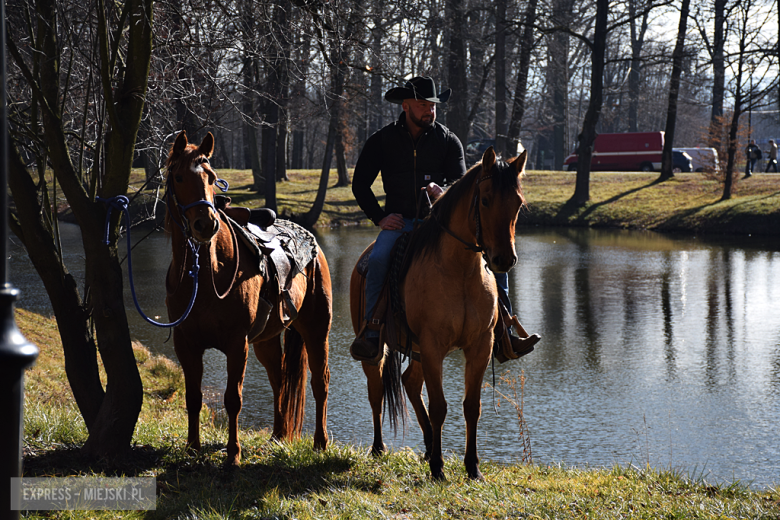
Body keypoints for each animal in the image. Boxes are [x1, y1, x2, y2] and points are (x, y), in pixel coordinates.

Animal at [166, 129, 330, 464]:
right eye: (178, 177)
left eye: (212, 177)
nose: (206, 224)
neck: (207, 275)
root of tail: (313, 244)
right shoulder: (185, 343)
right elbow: (193, 396)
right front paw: (192, 448)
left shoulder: (236, 343)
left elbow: (233, 399)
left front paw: (233, 455)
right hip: (266, 340)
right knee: (280, 381)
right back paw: (278, 437)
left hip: (316, 330)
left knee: (320, 382)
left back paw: (320, 443)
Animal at [352, 145, 532, 480]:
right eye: (485, 199)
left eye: (518, 202)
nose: (503, 259)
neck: (459, 272)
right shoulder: (433, 345)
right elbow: (439, 406)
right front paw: (438, 468)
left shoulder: (480, 345)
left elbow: (471, 406)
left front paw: (472, 467)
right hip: (380, 350)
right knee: (376, 391)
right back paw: (380, 447)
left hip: (418, 350)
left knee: (410, 382)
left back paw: (426, 446)